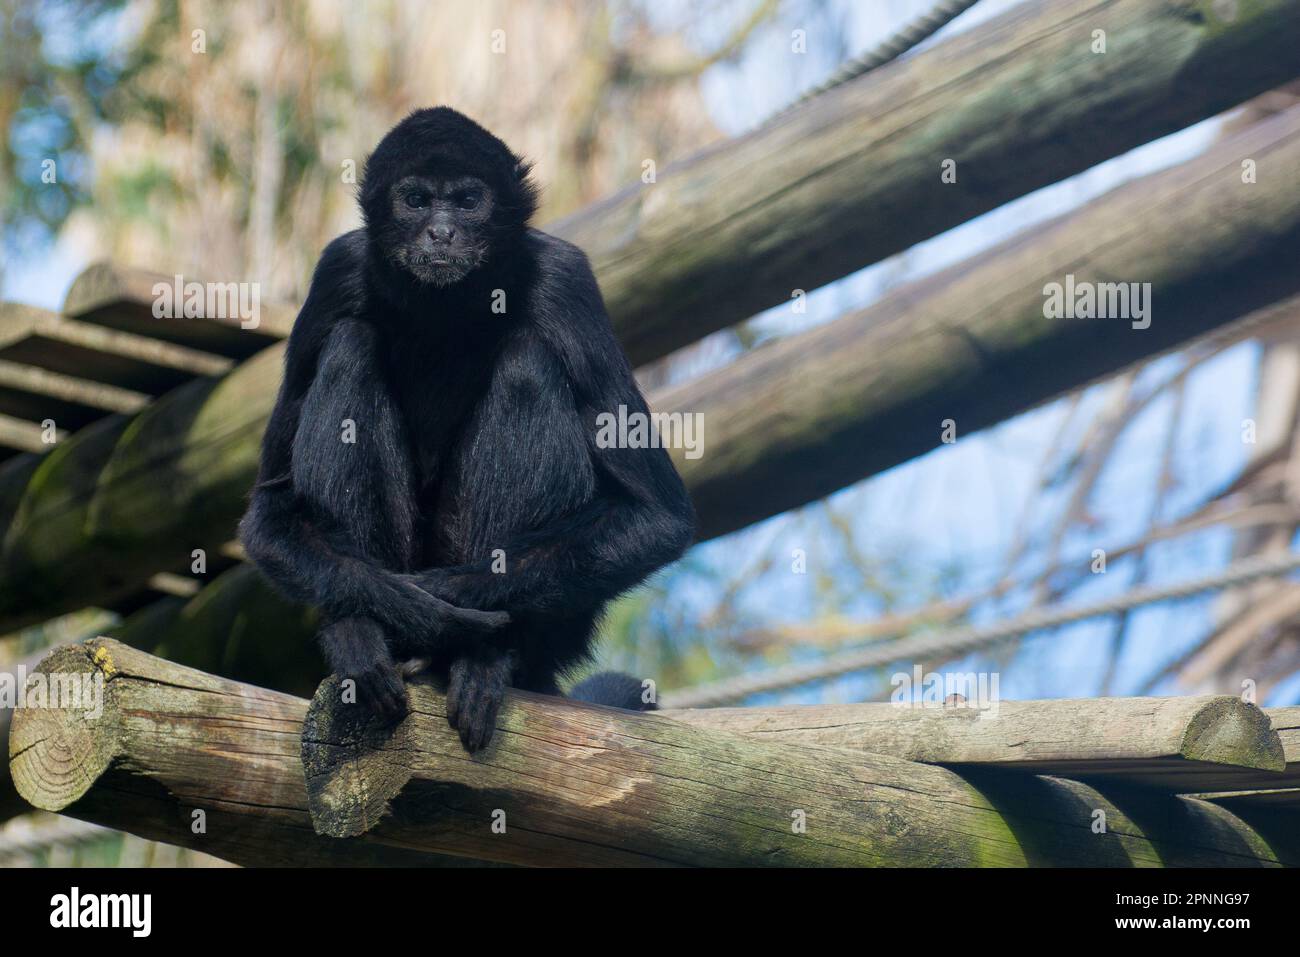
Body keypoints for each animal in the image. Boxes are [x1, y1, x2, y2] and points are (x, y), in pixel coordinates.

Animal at [239, 108, 696, 748]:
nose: (440, 232)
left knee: (528, 360)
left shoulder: (566, 279)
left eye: (466, 200)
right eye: (416, 200)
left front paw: (445, 599)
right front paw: (412, 606)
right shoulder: (338, 271)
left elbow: (657, 516)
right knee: (352, 345)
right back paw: (365, 635)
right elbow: (269, 515)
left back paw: (488, 656)